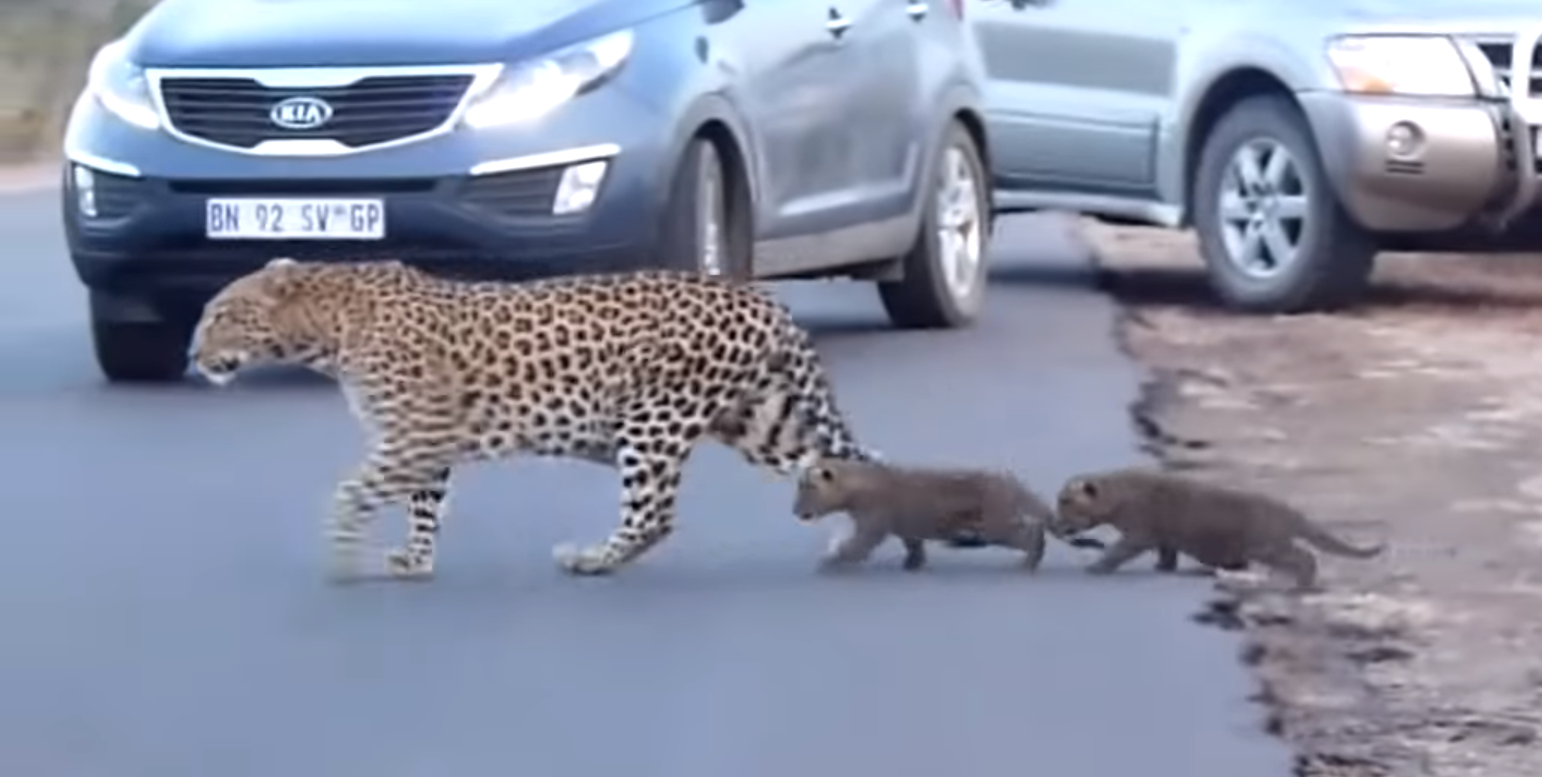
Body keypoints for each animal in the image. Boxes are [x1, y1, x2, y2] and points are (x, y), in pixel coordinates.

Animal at [183, 259, 882, 582]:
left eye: (221, 315)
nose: (191, 355)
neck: (326, 329)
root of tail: (763, 297)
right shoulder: (423, 443)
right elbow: (423, 504)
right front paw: (415, 561)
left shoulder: (410, 435)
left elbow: (353, 491)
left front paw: (339, 550)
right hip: (761, 420)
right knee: (848, 466)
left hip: (654, 419)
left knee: (652, 515)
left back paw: (592, 560)